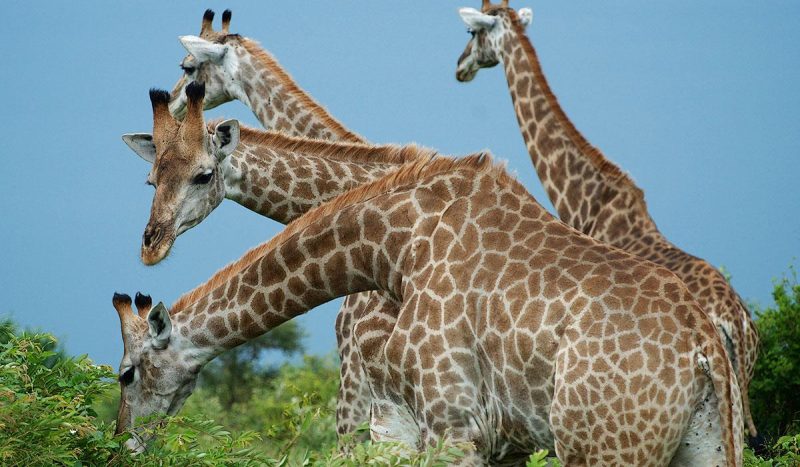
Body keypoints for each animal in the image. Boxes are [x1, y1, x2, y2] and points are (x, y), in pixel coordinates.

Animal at [111, 152, 742, 465]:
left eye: (126, 374)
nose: (120, 444)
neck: (392, 246)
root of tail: (703, 346)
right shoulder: (490, 442)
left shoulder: (450, 426)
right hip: (704, 445)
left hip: (605, 448)